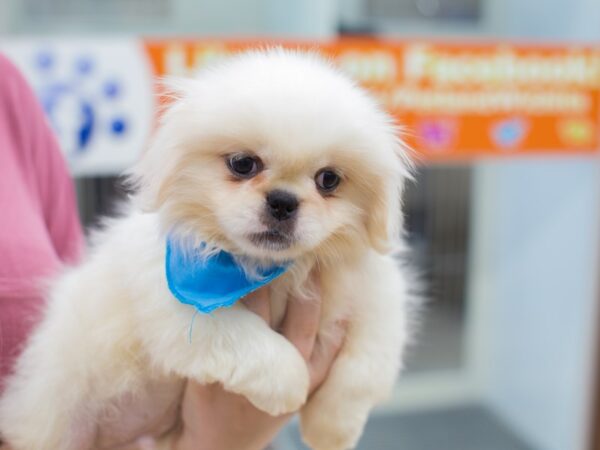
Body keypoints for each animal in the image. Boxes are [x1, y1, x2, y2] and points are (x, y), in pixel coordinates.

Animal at [0, 49, 412, 450]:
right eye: (243, 164)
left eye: (328, 180)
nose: (282, 201)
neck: (270, 269)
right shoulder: (182, 312)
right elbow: (252, 341)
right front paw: (293, 383)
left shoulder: (377, 293)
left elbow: (365, 366)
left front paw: (331, 431)